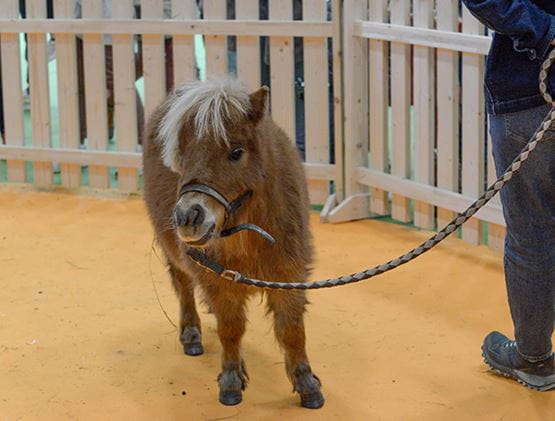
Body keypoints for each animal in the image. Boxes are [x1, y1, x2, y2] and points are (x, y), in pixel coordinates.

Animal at [143, 79, 324, 406]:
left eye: (236, 152)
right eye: (182, 154)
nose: (188, 216)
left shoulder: (289, 276)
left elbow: (292, 330)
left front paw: (307, 384)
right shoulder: (218, 282)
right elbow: (230, 329)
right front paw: (231, 381)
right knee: (183, 286)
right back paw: (191, 334)